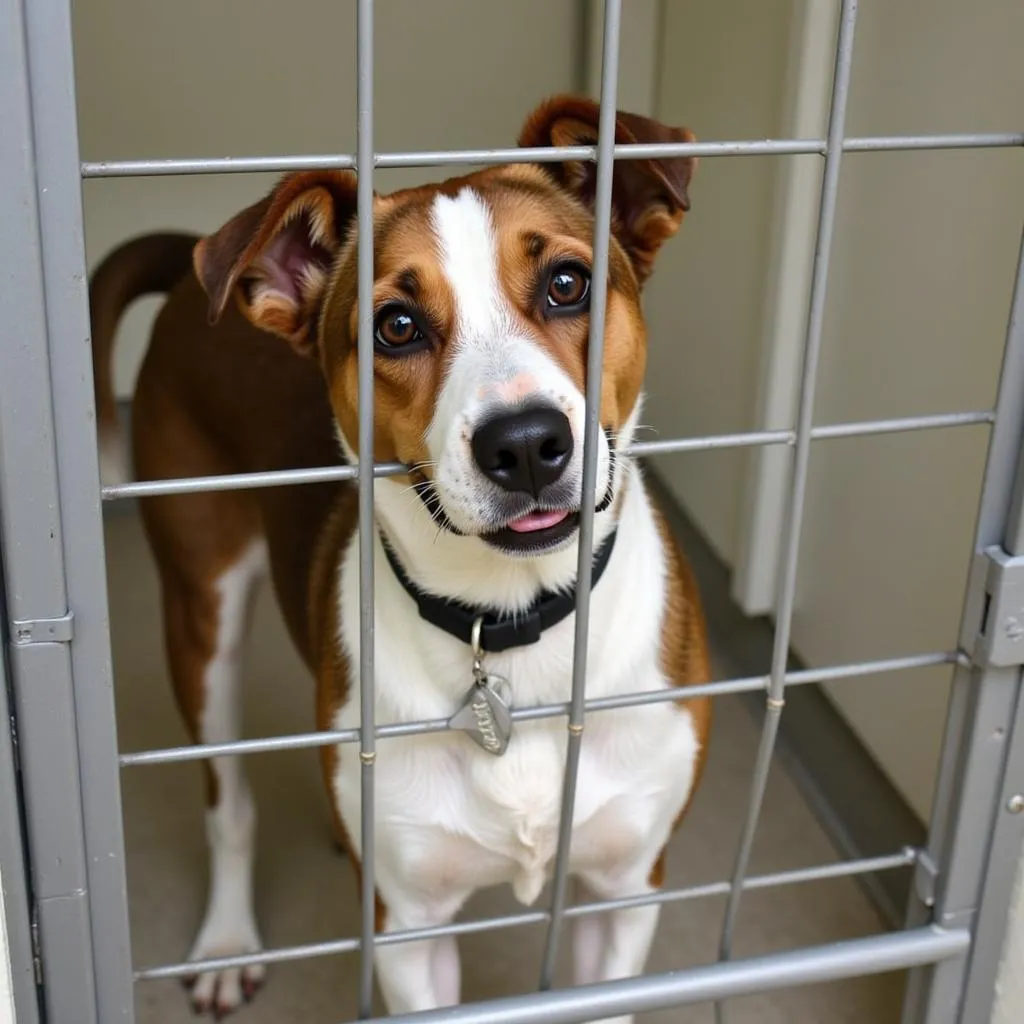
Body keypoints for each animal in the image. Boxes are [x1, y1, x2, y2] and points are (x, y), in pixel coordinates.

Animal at [90, 94, 712, 1015]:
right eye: (397, 326)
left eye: (568, 283)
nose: (526, 444)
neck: (512, 622)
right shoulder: (408, 929)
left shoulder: (624, 892)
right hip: (201, 617)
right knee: (228, 802)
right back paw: (228, 939)